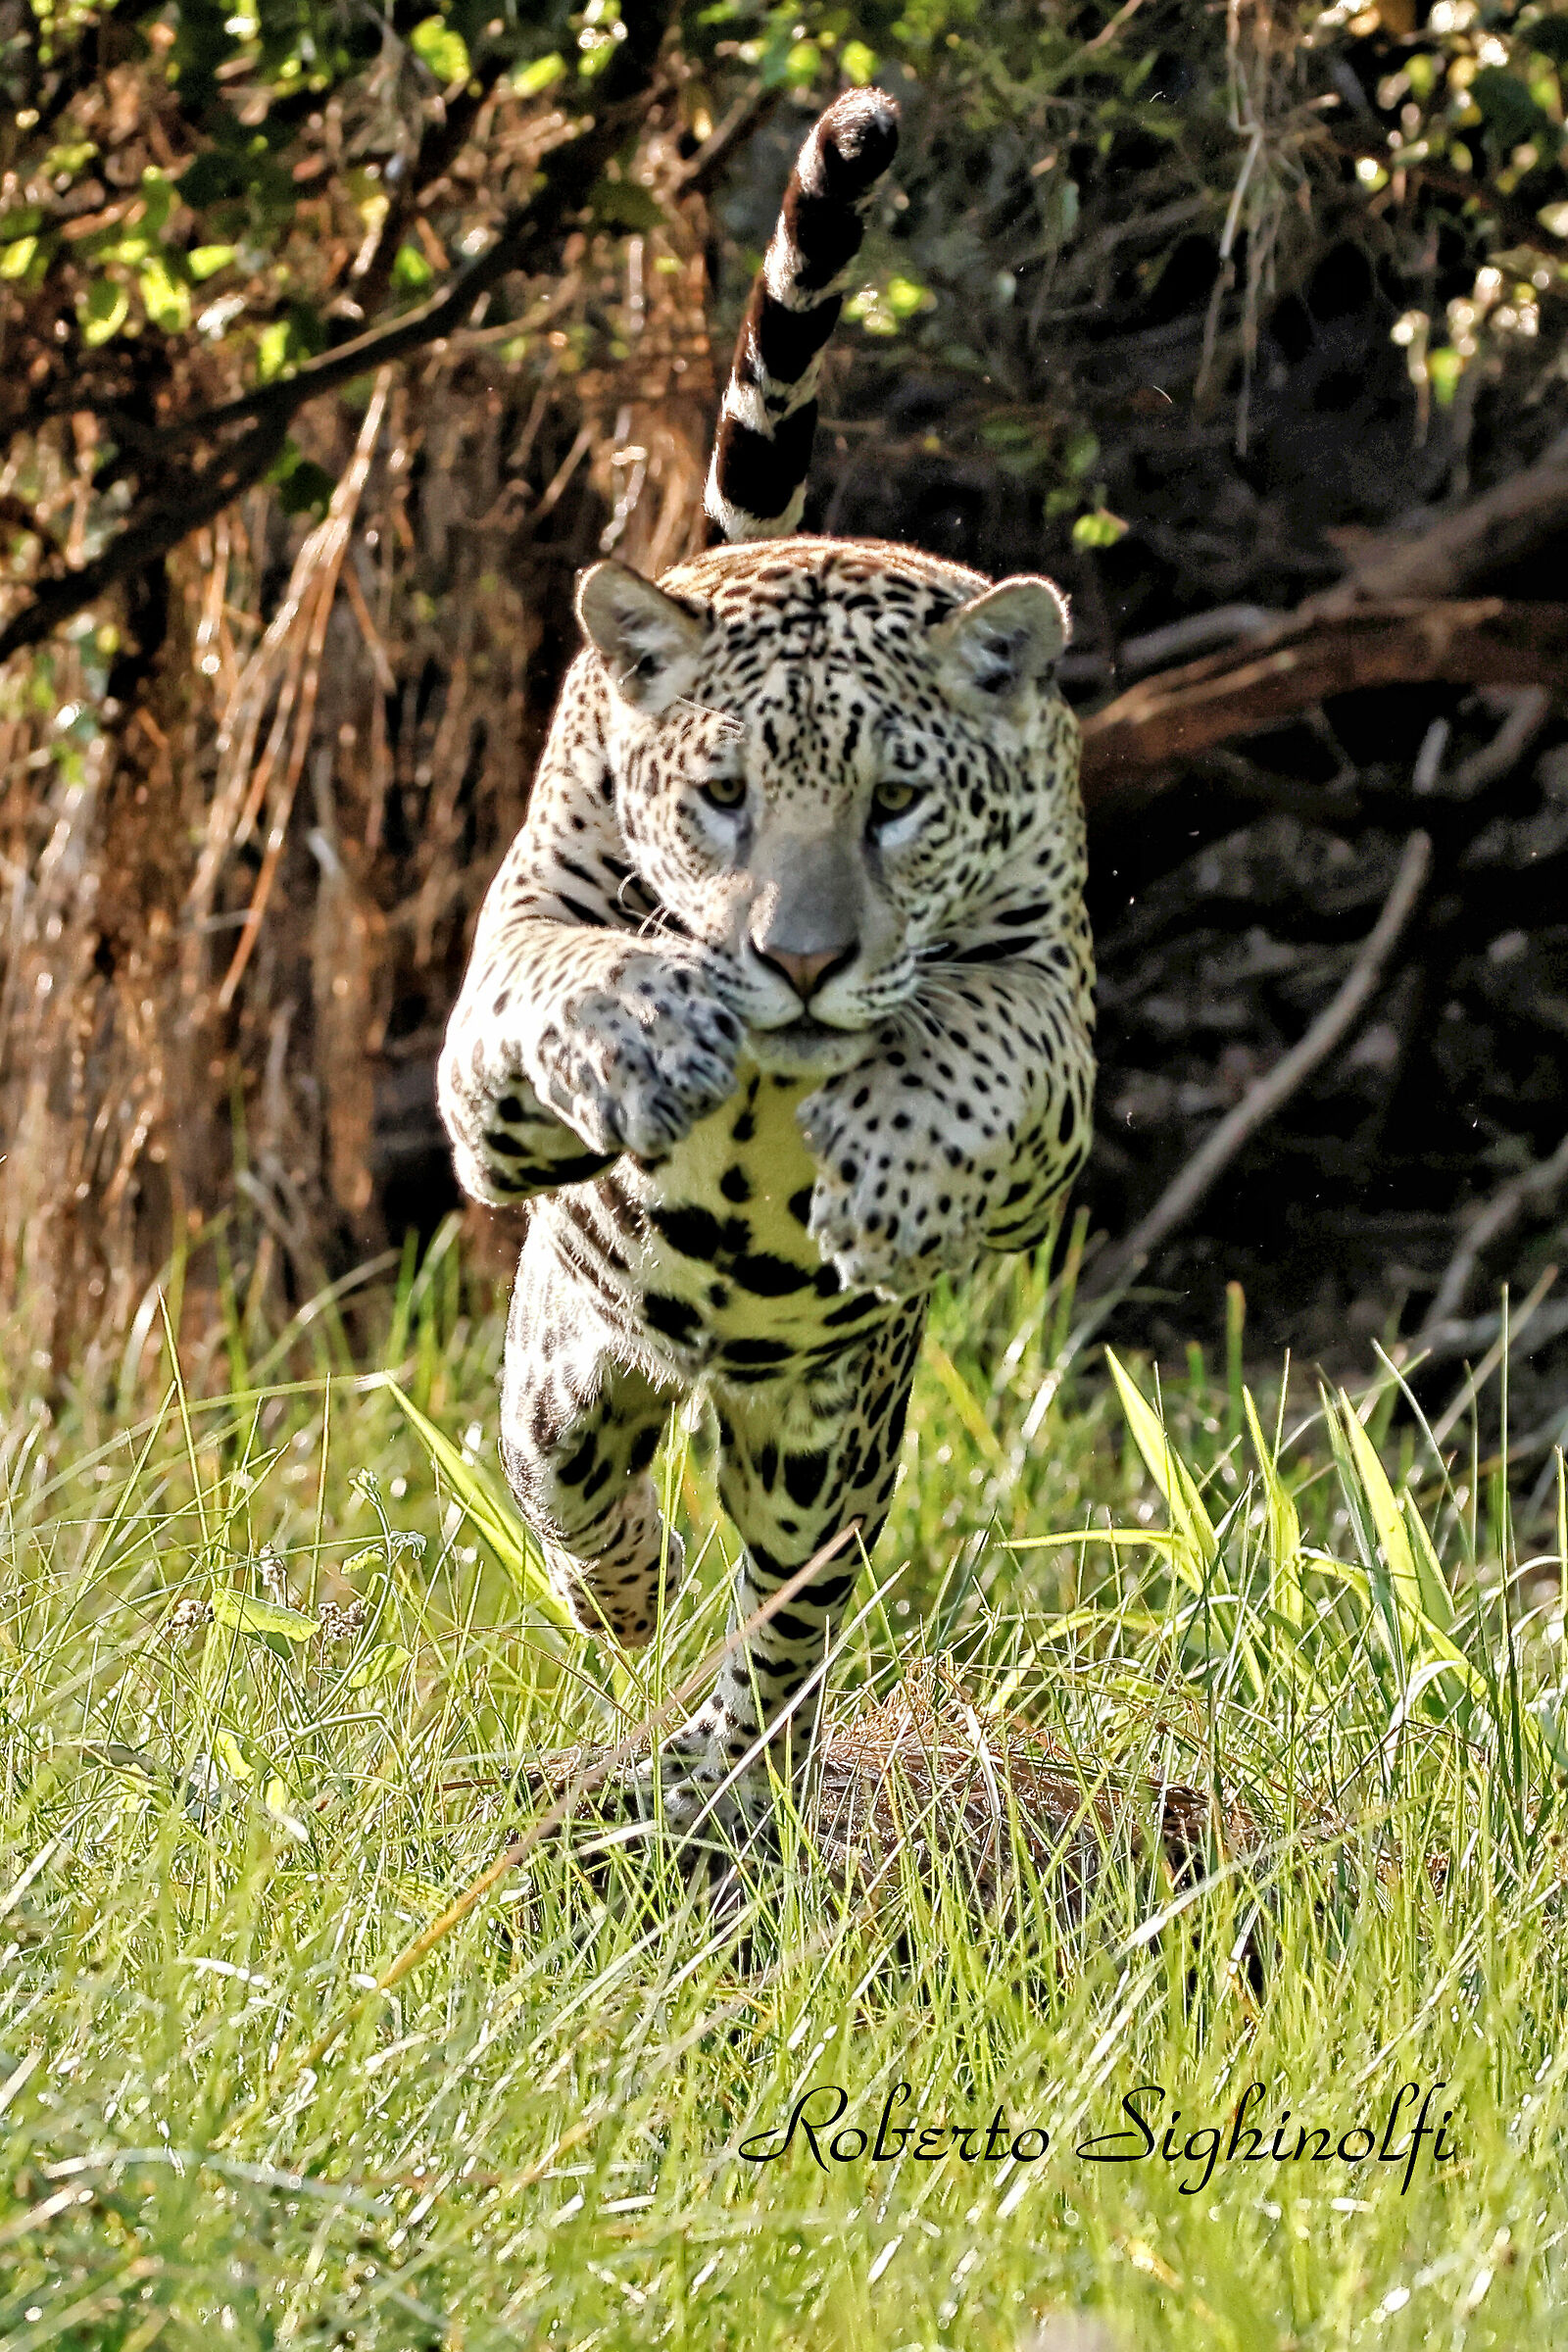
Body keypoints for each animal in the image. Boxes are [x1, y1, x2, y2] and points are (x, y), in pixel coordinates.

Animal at [437, 87, 1095, 1849]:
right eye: (723, 793)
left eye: (898, 804)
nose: (799, 960)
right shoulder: (493, 1035)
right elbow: (557, 977)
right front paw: (653, 1033)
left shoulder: (1057, 1037)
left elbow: (981, 1045)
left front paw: (880, 1163)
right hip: (567, 1362)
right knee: (582, 1486)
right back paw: (624, 1595)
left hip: (825, 1444)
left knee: (787, 1630)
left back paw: (714, 1785)